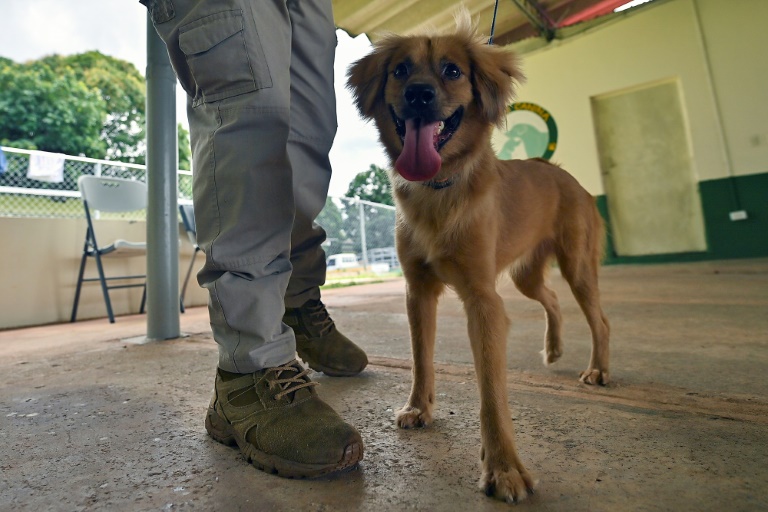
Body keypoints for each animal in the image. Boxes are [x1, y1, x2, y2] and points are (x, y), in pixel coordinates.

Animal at [350, 15, 612, 504]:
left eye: (452, 70)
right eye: (400, 70)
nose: (419, 94)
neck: (438, 190)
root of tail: (567, 176)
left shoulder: (483, 300)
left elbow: (491, 391)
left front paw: (504, 468)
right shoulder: (418, 292)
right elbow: (421, 358)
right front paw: (419, 407)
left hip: (577, 266)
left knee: (599, 320)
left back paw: (599, 369)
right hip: (527, 275)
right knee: (551, 299)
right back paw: (554, 347)